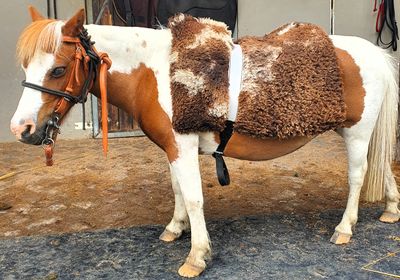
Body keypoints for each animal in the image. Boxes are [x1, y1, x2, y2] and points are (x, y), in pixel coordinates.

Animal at [9, 7, 400, 278]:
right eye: (26, 66)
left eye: (58, 69)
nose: (21, 129)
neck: (154, 74)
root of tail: (374, 54)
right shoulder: (173, 148)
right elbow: (179, 191)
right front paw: (175, 228)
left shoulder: (182, 146)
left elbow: (195, 198)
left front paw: (197, 256)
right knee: (383, 168)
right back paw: (391, 210)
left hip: (357, 132)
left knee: (358, 175)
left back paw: (344, 228)